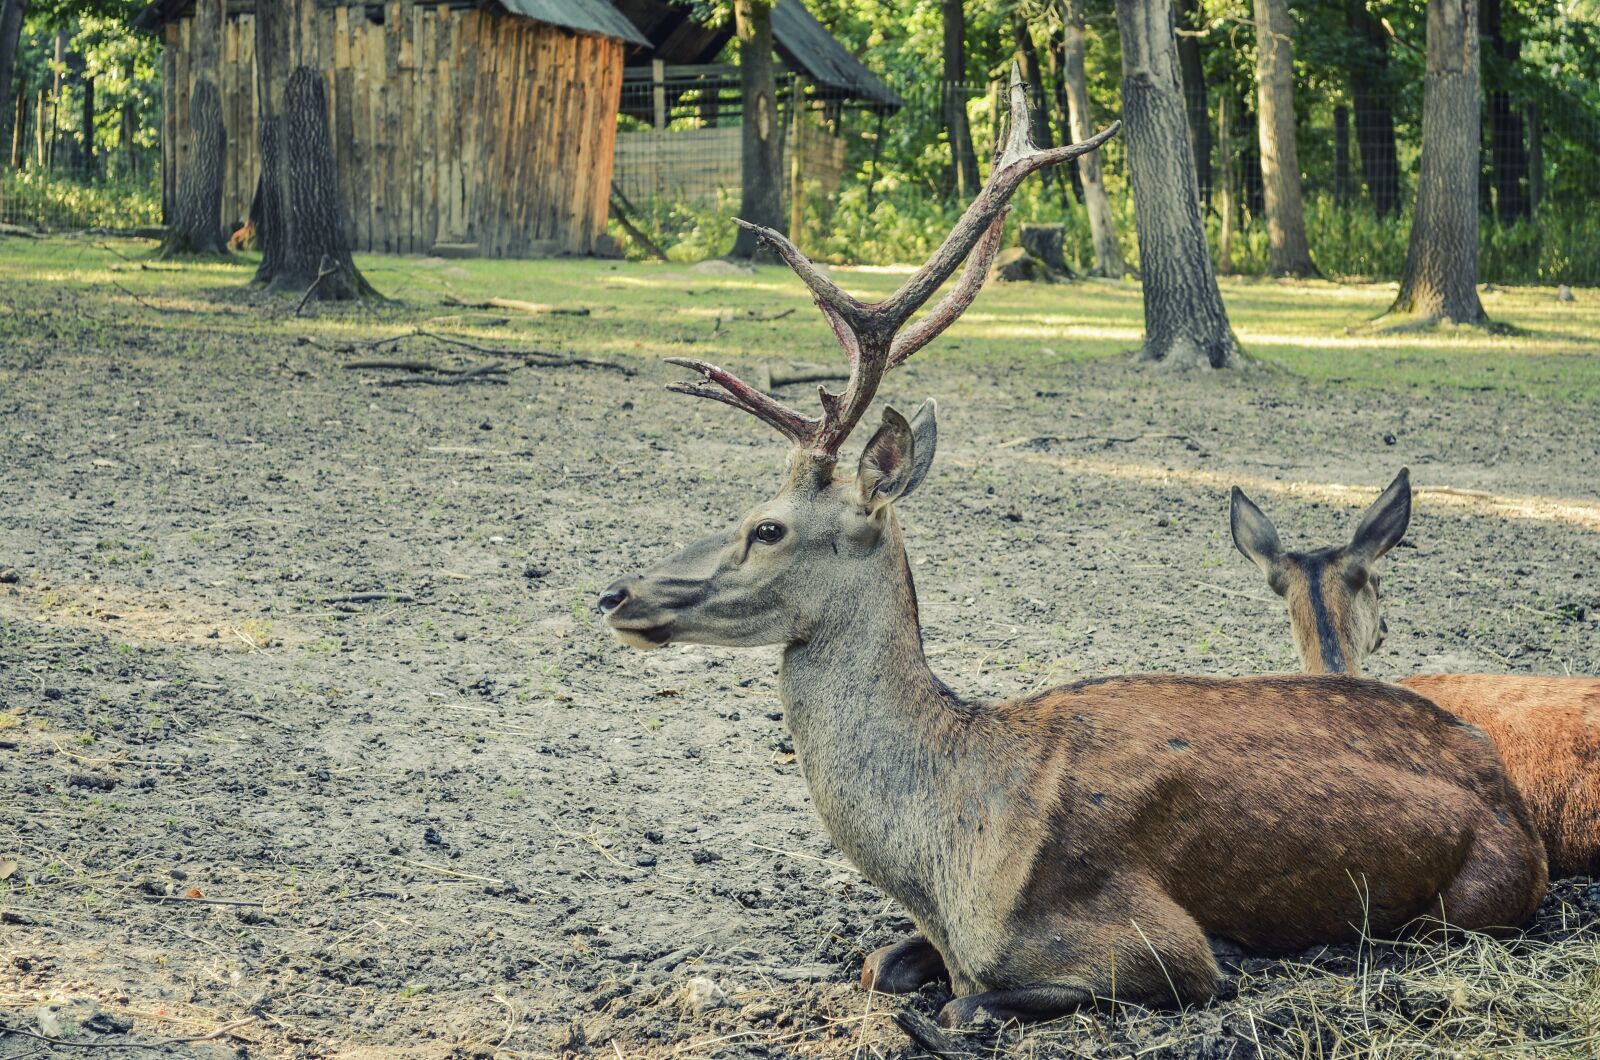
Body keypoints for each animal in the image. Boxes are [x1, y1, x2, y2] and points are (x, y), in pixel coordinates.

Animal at [597, 72, 1547, 1026]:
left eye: (767, 527)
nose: (615, 594)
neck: (947, 859)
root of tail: (1505, 782)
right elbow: (878, 964)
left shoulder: (1156, 942)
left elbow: (970, 1001)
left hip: (1481, 894)